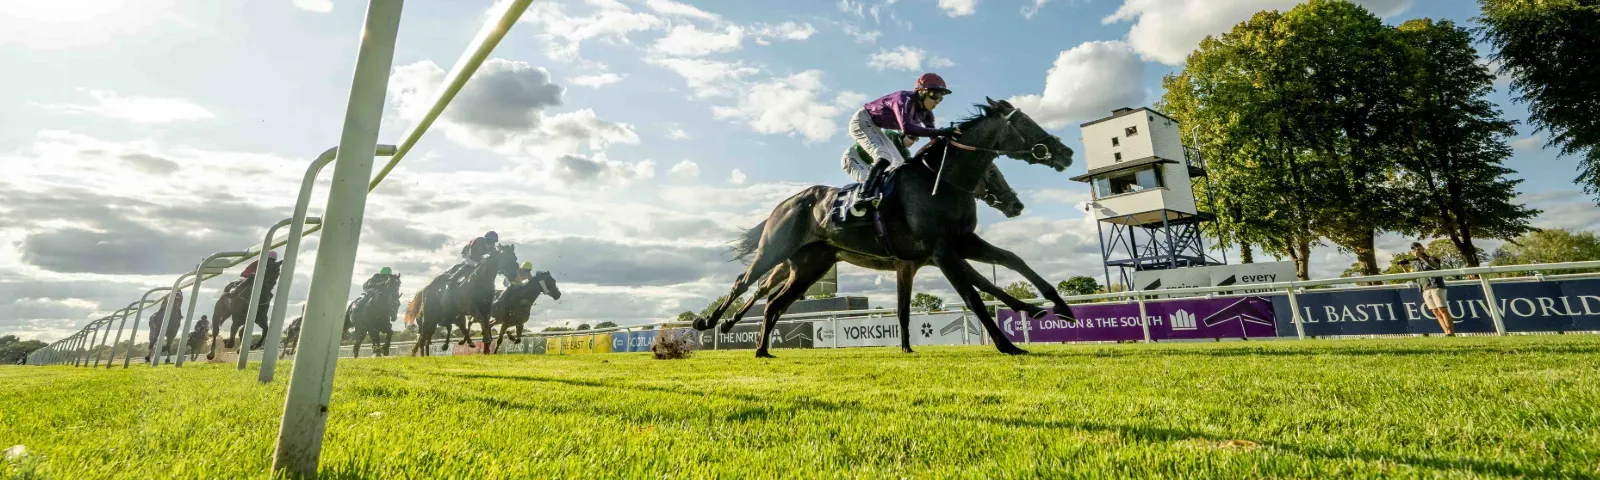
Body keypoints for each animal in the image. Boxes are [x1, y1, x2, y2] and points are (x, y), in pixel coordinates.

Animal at [691, 98, 1077, 358]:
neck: (940, 181)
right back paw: (710, 324)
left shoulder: (958, 244)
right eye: (1024, 123)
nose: (1067, 152)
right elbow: (973, 294)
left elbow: (1011, 261)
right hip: (774, 250)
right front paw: (1007, 344)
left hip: (810, 265)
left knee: (774, 303)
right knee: (745, 283)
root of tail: (784, 203)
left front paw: (1059, 306)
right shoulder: (942, 251)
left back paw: (761, 350)